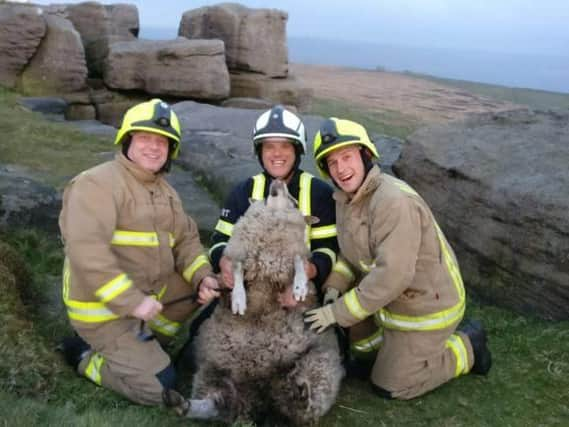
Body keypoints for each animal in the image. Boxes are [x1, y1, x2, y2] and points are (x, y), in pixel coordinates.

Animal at [166, 179, 344, 426]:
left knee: (304, 407)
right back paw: (181, 403)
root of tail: (262, 395)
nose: (278, 181)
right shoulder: (241, 256)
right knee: (217, 403)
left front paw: (299, 288)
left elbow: (300, 264)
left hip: (320, 361)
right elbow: (237, 272)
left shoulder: (291, 256)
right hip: (215, 371)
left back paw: (301, 396)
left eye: (294, 199)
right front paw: (239, 299)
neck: (272, 218)